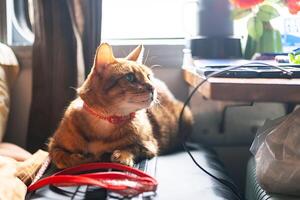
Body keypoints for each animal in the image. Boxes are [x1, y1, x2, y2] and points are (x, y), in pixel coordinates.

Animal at [48, 43, 193, 168]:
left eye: (148, 76)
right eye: (130, 77)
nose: (153, 87)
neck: (105, 121)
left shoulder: (150, 144)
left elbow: (132, 146)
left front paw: (122, 155)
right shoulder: (54, 144)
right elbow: (63, 158)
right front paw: (82, 159)